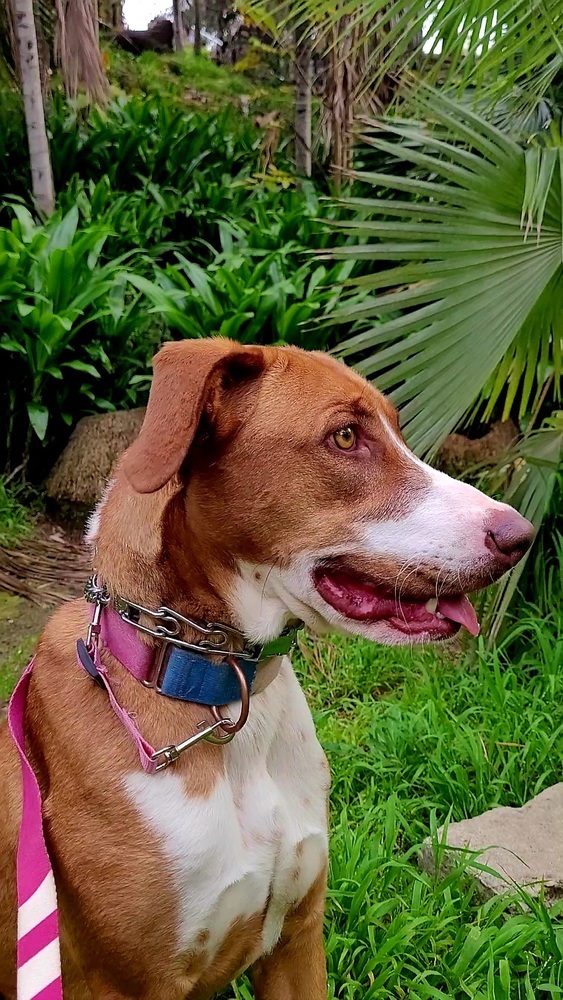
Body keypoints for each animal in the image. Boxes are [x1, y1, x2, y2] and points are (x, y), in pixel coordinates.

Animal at [0, 338, 532, 1000]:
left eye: (397, 430)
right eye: (346, 436)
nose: (522, 535)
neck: (226, 696)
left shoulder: (297, 939)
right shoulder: (129, 982)